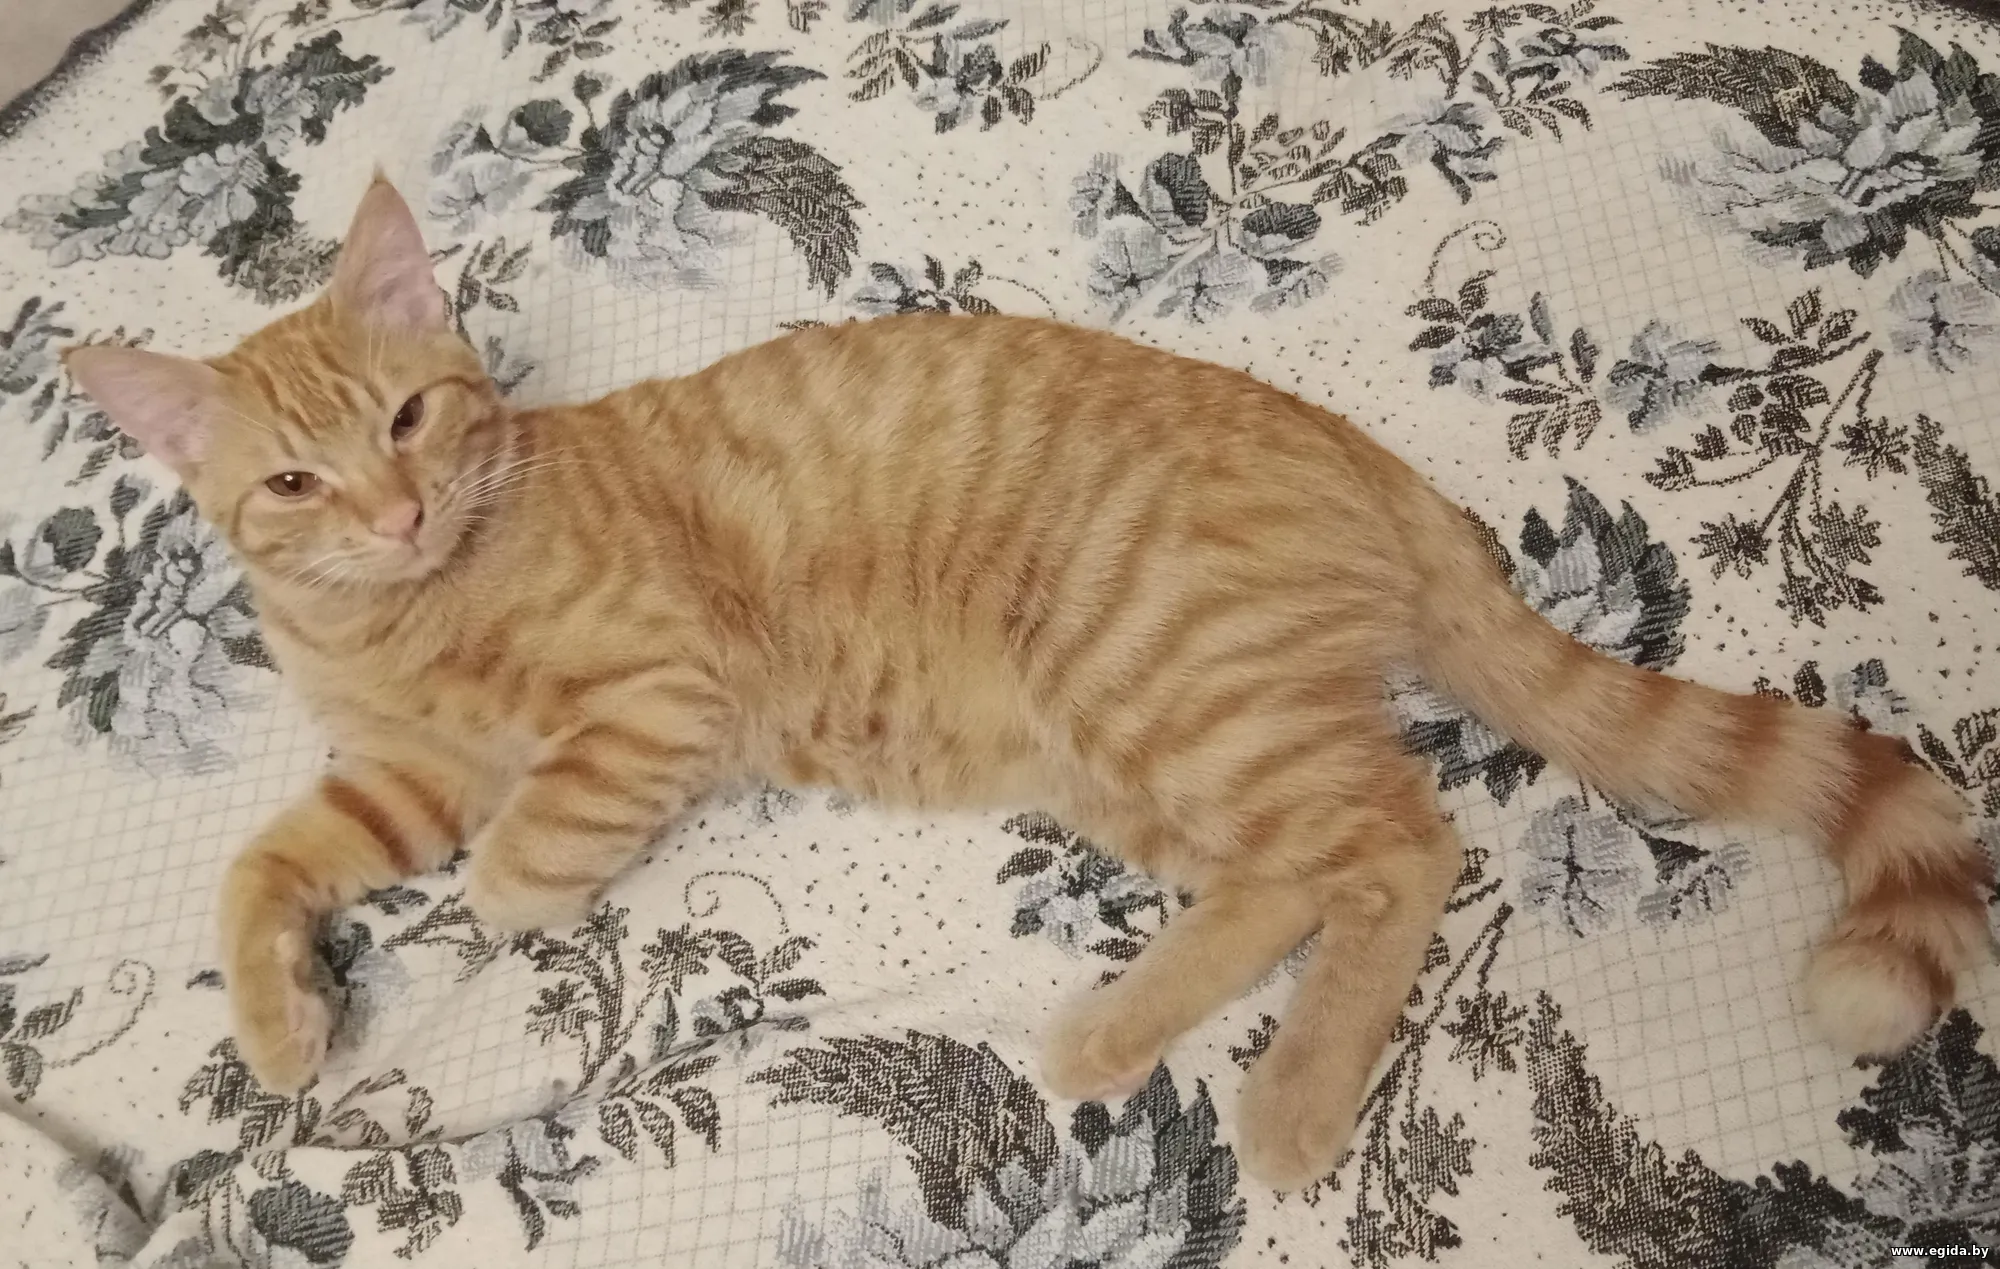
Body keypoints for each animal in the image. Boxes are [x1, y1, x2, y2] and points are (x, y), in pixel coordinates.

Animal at [65, 177, 1994, 1189]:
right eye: (295, 480)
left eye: (411, 417)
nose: (390, 512)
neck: (408, 610)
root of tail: (1374, 465)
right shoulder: (397, 774)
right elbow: (263, 861)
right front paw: (284, 1018)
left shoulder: (650, 696)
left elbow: (525, 844)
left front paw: (496, 908)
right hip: (1128, 751)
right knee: (1300, 871)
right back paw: (1117, 1028)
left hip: (1166, 687)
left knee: (1404, 843)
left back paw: (1293, 1098)